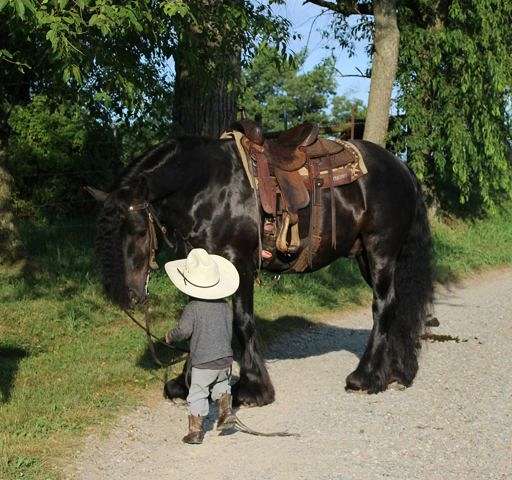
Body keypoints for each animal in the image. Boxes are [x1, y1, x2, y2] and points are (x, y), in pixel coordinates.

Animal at [91, 134, 432, 404]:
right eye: (104, 233)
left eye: (137, 230)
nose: (125, 296)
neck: (208, 186)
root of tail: (401, 167)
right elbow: (197, 319)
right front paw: (184, 384)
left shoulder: (238, 263)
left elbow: (243, 321)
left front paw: (252, 389)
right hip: (366, 256)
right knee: (396, 306)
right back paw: (395, 372)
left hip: (380, 251)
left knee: (384, 306)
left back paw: (366, 377)